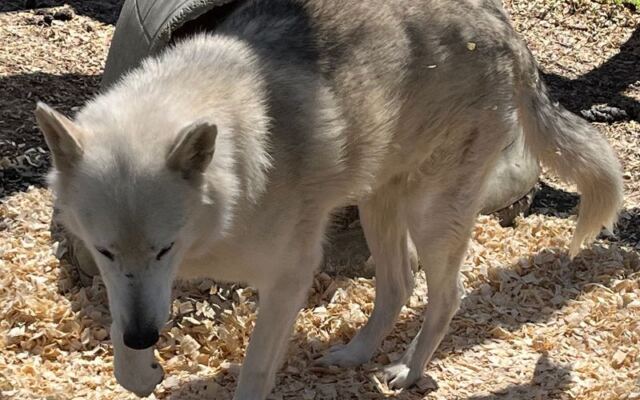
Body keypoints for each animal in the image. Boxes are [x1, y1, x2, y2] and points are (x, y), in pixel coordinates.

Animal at [35, 0, 623, 398]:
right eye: (105, 251)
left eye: (165, 248)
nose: (144, 337)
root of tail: (506, 29)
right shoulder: (130, 285)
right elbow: (119, 334)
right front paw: (140, 370)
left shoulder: (288, 279)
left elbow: (255, 368)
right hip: (379, 204)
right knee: (398, 285)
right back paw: (356, 353)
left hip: (430, 216)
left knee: (445, 295)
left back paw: (409, 370)